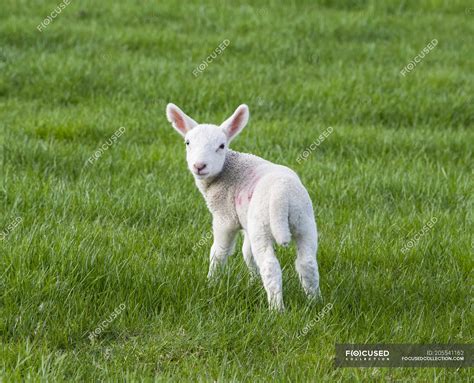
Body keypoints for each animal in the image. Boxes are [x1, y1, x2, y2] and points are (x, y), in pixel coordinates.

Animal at [165, 103, 320, 310]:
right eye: (187, 143)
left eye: (221, 146)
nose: (199, 166)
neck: (226, 170)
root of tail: (282, 194)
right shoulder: (247, 222)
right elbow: (248, 253)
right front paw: (253, 280)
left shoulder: (225, 217)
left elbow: (219, 252)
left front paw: (211, 282)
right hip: (304, 221)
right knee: (307, 263)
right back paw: (315, 301)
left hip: (263, 225)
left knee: (270, 266)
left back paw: (277, 309)